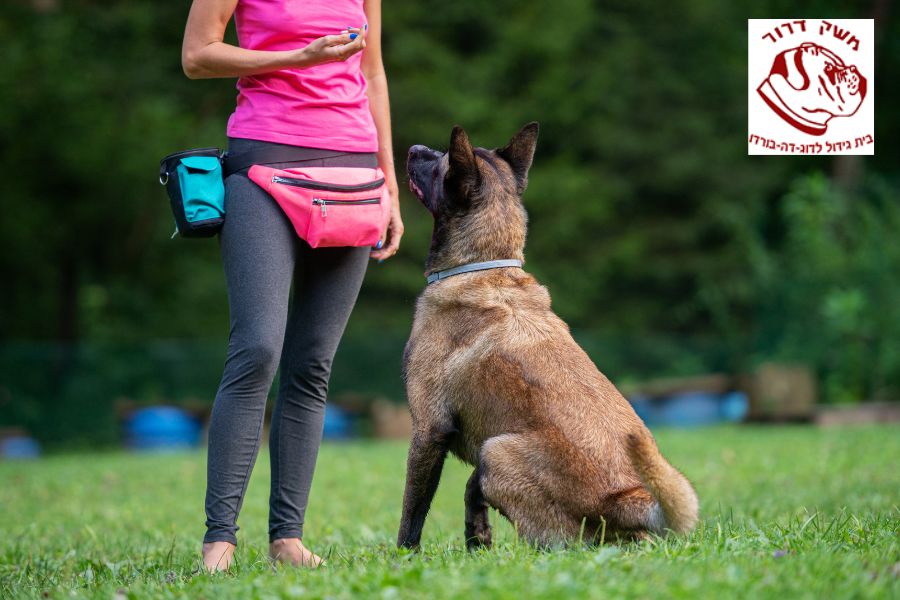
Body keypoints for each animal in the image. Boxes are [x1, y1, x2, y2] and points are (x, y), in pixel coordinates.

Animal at [398, 122, 700, 548]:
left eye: (441, 162)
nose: (413, 147)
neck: (484, 266)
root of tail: (626, 499)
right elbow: (471, 494)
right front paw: (478, 540)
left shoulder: (428, 430)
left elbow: (413, 513)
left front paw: (402, 557)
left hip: (497, 450)